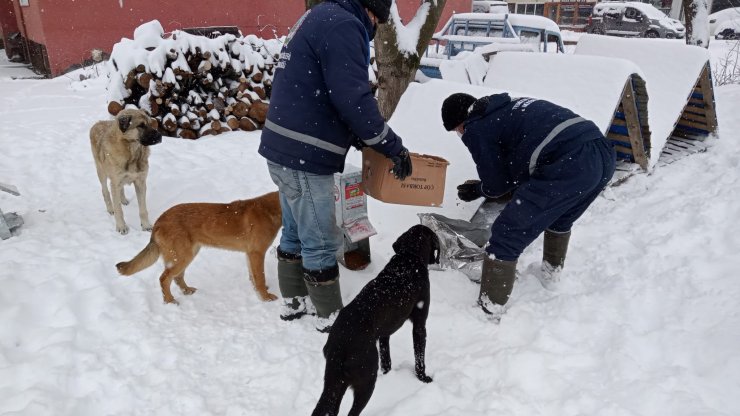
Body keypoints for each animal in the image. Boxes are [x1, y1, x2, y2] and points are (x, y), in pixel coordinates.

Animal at [117, 190, 282, 304]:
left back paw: (186, 290)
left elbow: (253, 277)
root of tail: (159, 220)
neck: (272, 210)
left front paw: (258, 292)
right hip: (183, 257)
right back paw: (170, 301)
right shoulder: (257, 253)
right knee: (164, 278)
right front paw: (265, 297)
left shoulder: (250, 254)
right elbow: (260, 278)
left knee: (177, 277)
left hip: (188, 254)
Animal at [310, 224, 440, 416]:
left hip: (336, 382)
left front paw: (388, 373)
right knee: (353, 412)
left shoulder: (384, 334)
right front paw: (423, 378)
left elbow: (386, 358)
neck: (409, 258)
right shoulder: (419, 324)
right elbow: (420, 357)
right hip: (366, 381)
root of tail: (339, 346)